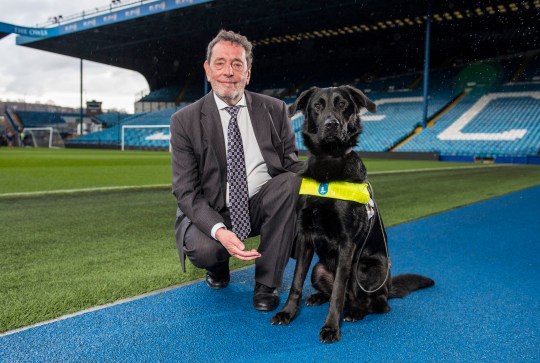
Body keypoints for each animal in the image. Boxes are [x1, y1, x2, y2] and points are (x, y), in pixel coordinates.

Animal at [270, 85, 434, 344]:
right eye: (317, 106)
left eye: (342, 105)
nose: (332, 124)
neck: (328, 164)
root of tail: (388, 287)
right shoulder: (305, 236)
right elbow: (296, 282)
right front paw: (287, 313)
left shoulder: (346, 244)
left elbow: (338, 291)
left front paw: (331, 327)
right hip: (319, 269)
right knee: (338, 292)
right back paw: (318, 297)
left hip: (368, 270)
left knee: (373, 302)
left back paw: (356, 311)